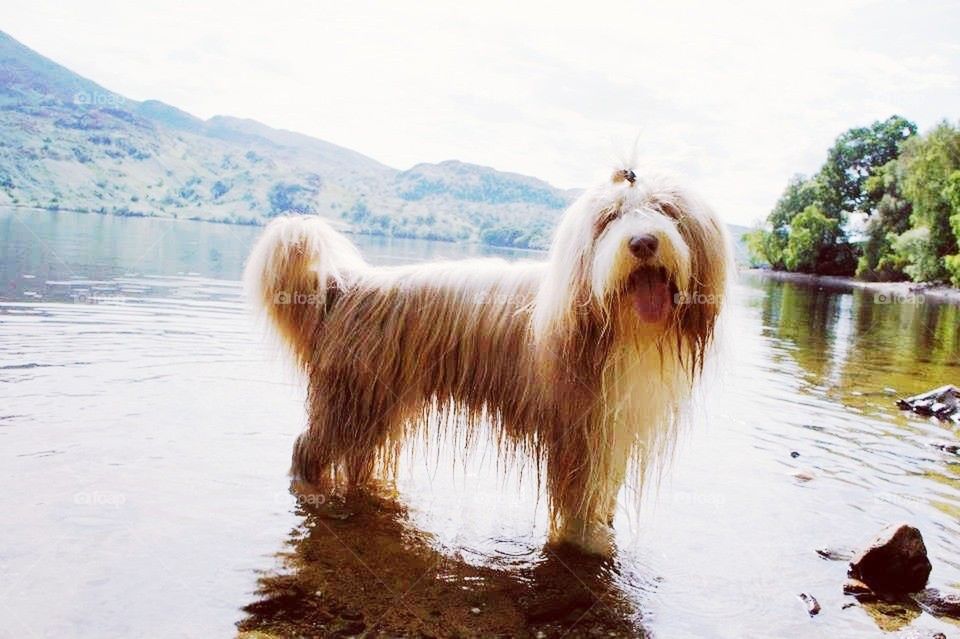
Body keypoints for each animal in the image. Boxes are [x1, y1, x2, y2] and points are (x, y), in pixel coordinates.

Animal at [246, 169, 728, 556]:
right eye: (609, 218)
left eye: (666, 210)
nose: (643, 242)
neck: (617, 322)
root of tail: (347, 287)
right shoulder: (578, 430)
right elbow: (578, 493)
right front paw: (587, 541)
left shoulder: (613, 428)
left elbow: (603, 486)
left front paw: (601, 525)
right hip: (353, 400)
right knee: (309, 446)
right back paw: (313, 492)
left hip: (378, 404)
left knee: (359, 456)